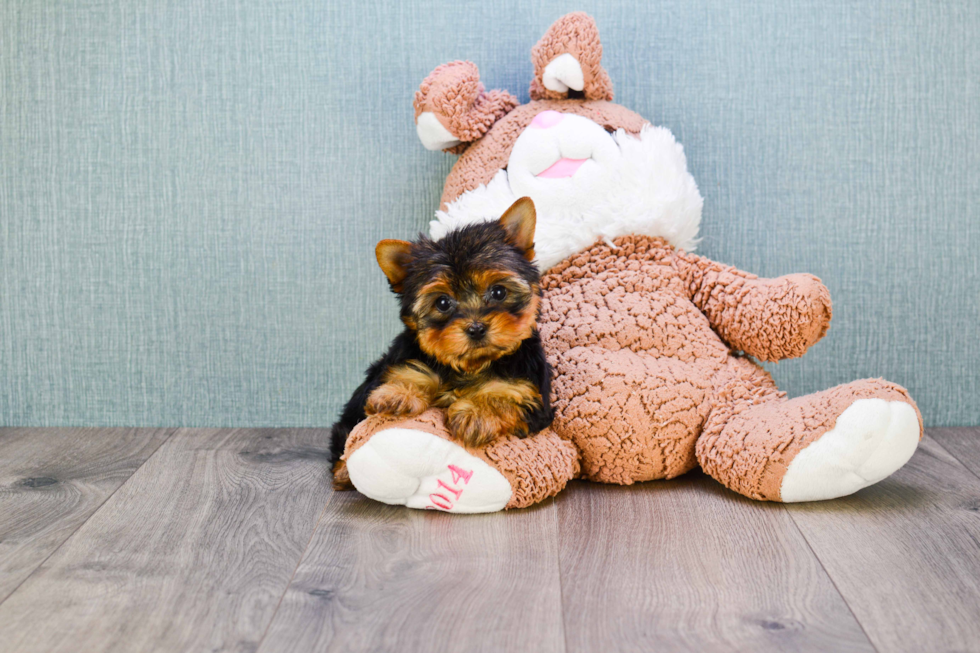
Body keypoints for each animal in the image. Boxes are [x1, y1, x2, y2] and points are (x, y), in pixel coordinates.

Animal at [332, 195, 552, 478]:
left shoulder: (532, 393)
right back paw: (343, 472)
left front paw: (477, 414)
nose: (476, 328)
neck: (470, 366)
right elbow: (411, 371)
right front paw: (397, 394)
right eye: (443, 302)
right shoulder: (403, 360)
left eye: (499, 292)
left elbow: (506, 392)